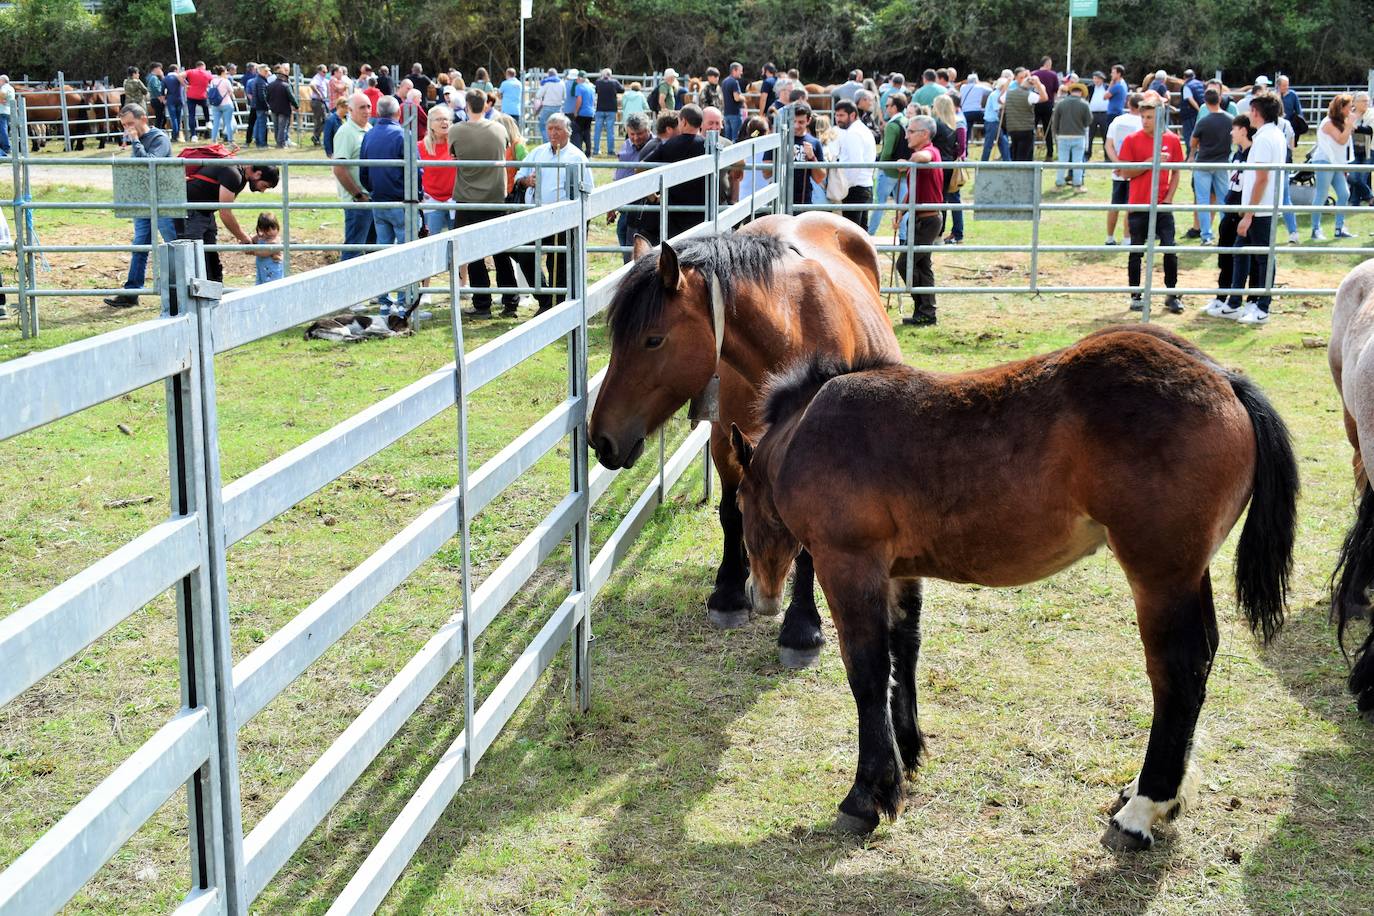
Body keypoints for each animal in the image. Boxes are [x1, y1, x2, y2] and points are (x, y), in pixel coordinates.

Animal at [730, 325, 1297, 851]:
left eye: (737, 502)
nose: (759, 595)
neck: (809, 428)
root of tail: (1223, 377)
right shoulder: (897, 569)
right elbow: (903, 653)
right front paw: (907, 755)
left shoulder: (848, 563)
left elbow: (868, 674)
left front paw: (868, 795)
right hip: (1188, 574)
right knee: (1204, 660)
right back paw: (1160, 794)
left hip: (1159, 576)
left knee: (1180, 671)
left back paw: (1142, 809)